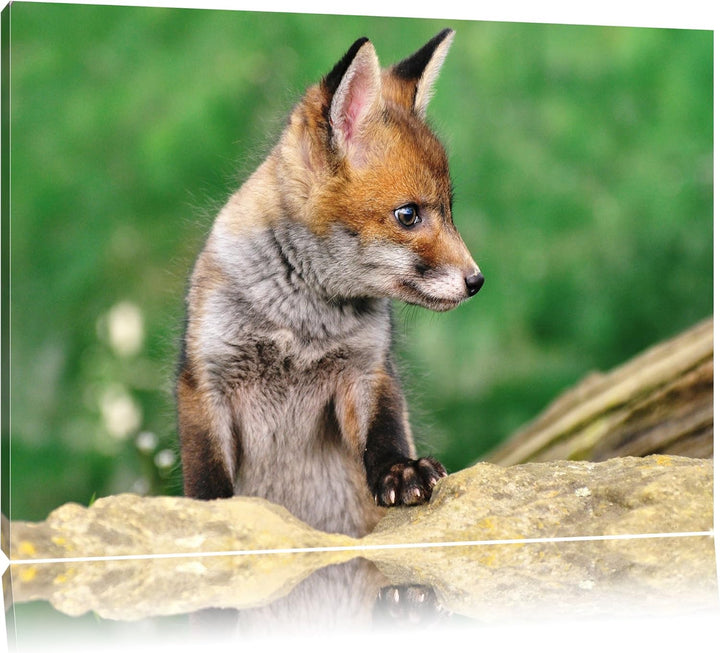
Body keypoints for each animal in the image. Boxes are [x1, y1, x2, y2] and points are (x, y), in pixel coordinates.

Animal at [177, 28, 483, 538]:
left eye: (449, 211)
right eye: (408, 215)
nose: (477, 281)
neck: (299, 325)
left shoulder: (367, 371)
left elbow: (385, 433)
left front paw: (400, 471)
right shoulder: (205, 379)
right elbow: (206, 477)